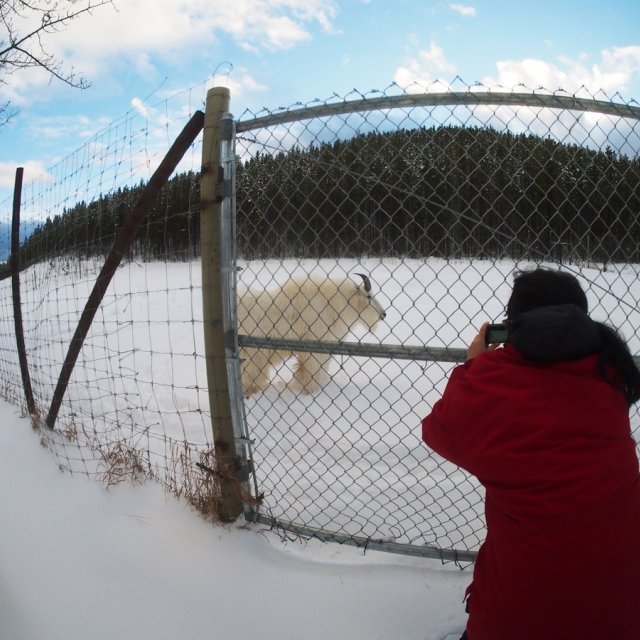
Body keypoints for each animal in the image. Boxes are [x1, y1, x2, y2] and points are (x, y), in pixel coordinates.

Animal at [236, 274, 382, 396]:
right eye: (369, 296)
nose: (383, 314)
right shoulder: (314, 348)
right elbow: (311, 370)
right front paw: (309, 391)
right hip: (253, 354)